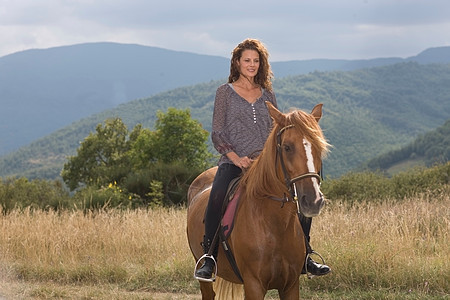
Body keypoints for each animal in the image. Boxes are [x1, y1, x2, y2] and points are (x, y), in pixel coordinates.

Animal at [186, 102, 330, 298]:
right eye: (287, 147)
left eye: (319, 147)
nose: (313, 201)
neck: (274, 225)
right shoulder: (254, 284)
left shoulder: (291, 285)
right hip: (202, 270)